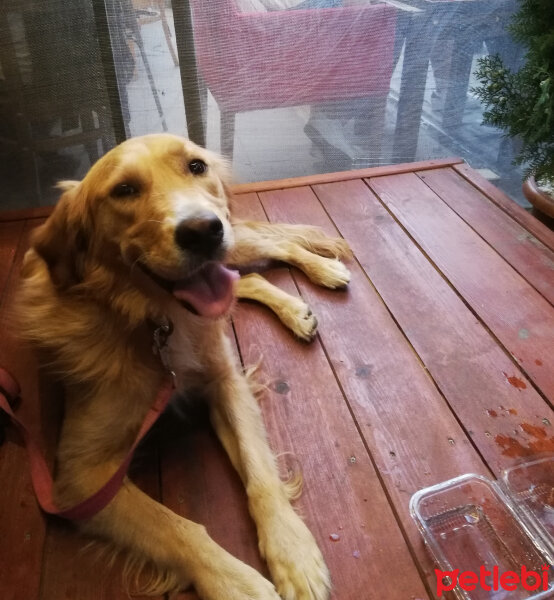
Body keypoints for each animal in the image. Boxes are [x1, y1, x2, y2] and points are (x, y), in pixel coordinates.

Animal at [16, 134, 350, 596]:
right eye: (123, 190)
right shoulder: (79, 479)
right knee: (249, 279)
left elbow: (260, 472)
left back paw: (324, 270)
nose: (203, 230)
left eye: (196, 166)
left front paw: (293, 552)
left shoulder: (226, 382)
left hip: (235, 244)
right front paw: (241, 586)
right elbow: (178, 530)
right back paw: (297, 308)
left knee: (276, 248)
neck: (156, 322)